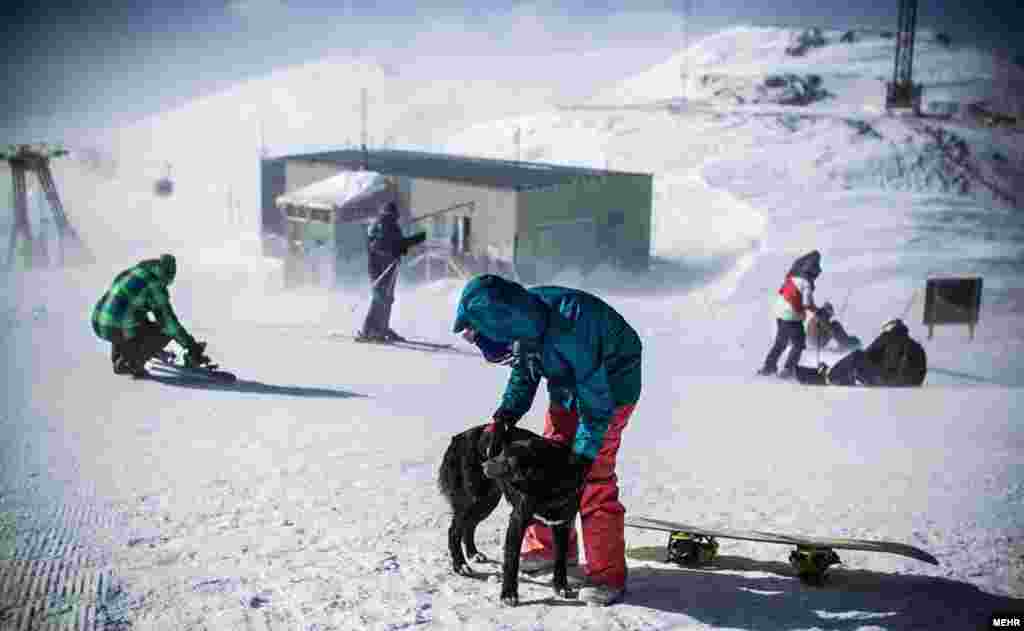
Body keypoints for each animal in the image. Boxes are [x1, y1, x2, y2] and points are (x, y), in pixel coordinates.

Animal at [438, 424, 585, 606]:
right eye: (501, 452)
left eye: (508, 459)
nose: (484, 463)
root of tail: (458, 437)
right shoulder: (517, 520)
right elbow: (512, 561)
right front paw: (508, 594)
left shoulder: (561, 524)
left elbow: (560, 559)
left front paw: (561, 587)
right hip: (473, 499)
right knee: (454, 530)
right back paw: (460, 565)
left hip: (487, 502)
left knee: (469, 526)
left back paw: (473, 554)